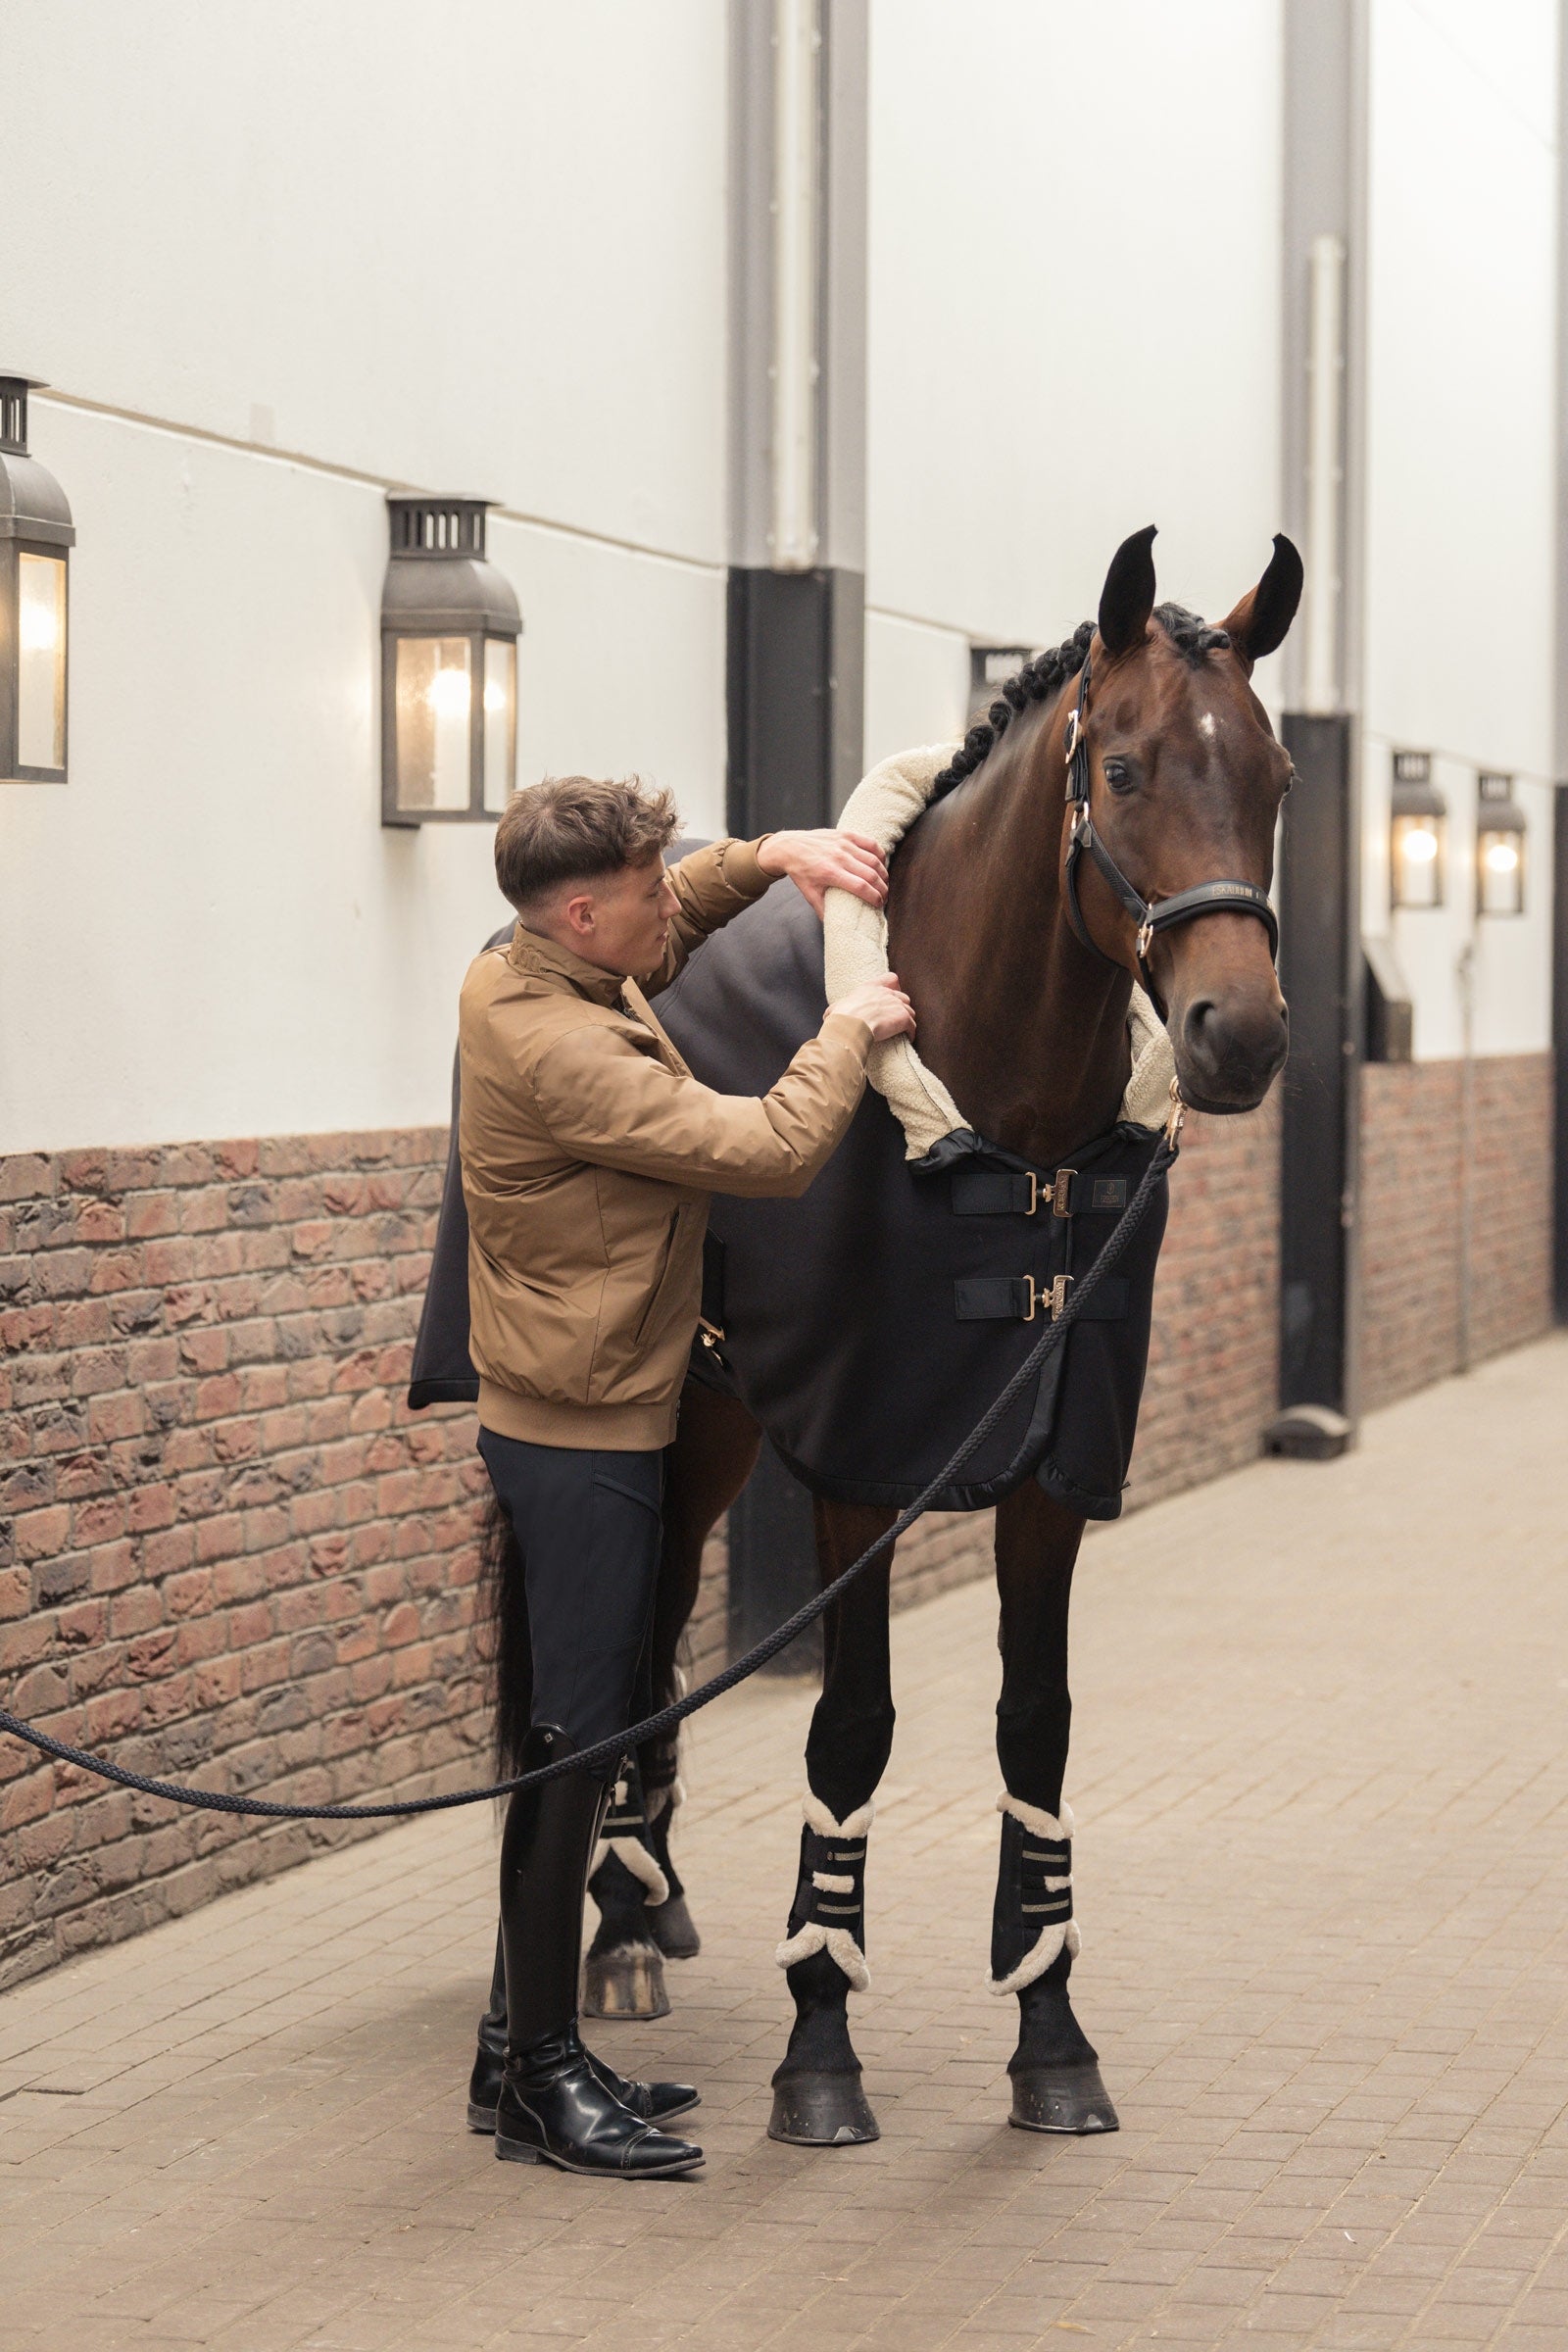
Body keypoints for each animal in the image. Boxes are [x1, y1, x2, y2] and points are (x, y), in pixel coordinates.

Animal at [489, 524, 1302, 2144]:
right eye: (1124, 769)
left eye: (1281, 773)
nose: (1236, 1035)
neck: (1004, 1125)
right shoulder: (861, 1465)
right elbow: (850, 1727)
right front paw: (821, 2041)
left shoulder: (1055, 1461)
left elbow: (1036, 1722)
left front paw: (1051, 2030)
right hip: (673, 1424)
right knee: (625, 1634)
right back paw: (615, 1925)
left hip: (723, 1420)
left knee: (658, 1631)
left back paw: (644, 1903)